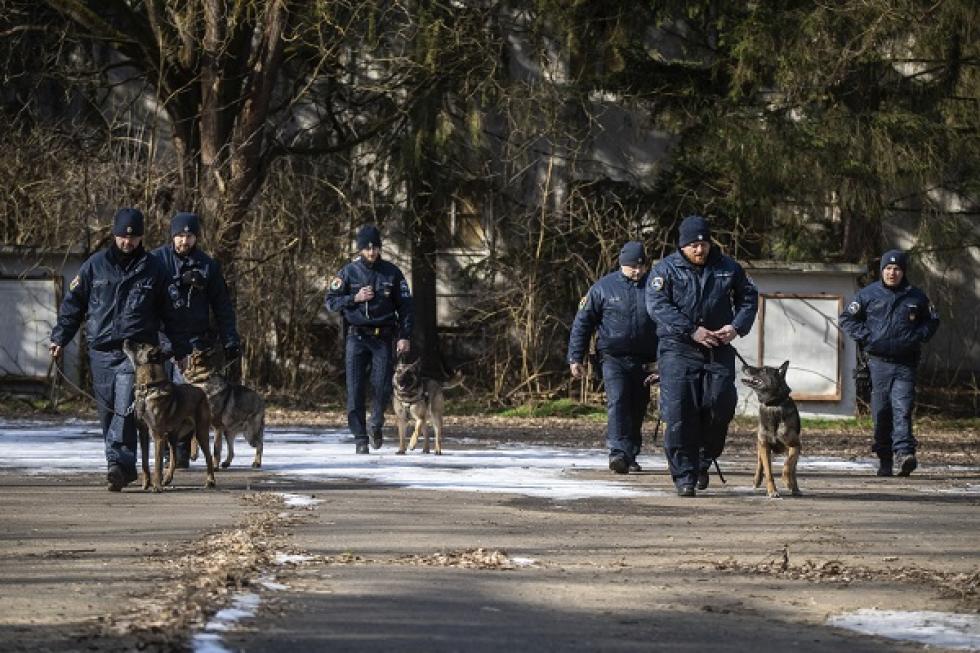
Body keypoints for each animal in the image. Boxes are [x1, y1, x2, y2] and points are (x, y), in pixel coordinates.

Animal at [121, 342, 215, 488]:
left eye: (140, 345)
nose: (125, 340)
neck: (147, 389)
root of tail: (200, 391)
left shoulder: (157, 435)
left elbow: (157, 464)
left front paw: (156, 486)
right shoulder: (143, 433)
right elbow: (145, 461)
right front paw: (146, 483)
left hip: (200, 432)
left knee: (208, 456)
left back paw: (210, 481)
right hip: (172, 436)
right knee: (174, 458)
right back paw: (167, 479)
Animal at [744, 360, 804, 496]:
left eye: (764, 370)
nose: (744, 366)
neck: (773, 404)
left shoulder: (795, 445)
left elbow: (788, 465)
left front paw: (787, 481)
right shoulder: (764, 445)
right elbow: (768, 471)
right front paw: (772, 490)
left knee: (793, 468)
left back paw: (795, 487)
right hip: (760, 445)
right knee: (760, 463)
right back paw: (757, 479)